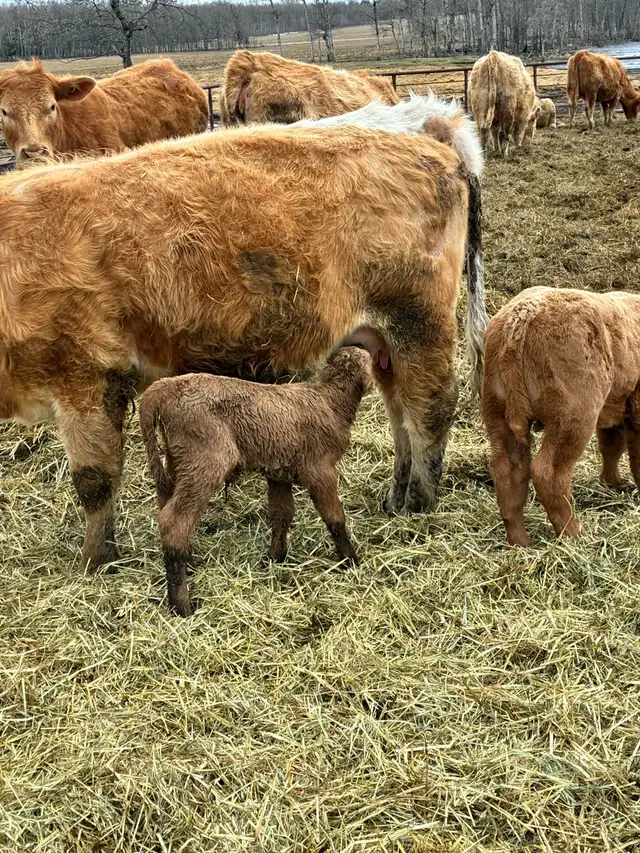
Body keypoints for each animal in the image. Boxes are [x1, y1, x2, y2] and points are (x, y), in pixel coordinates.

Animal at [0, 93, 485, 571]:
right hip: (382, 339)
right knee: (399, 408)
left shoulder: (86, 376)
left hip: (419, 321)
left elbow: (94, 481)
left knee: (430, 406)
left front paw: (96, 560)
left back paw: (420, 500)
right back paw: (397, 496)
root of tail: (432, 127)